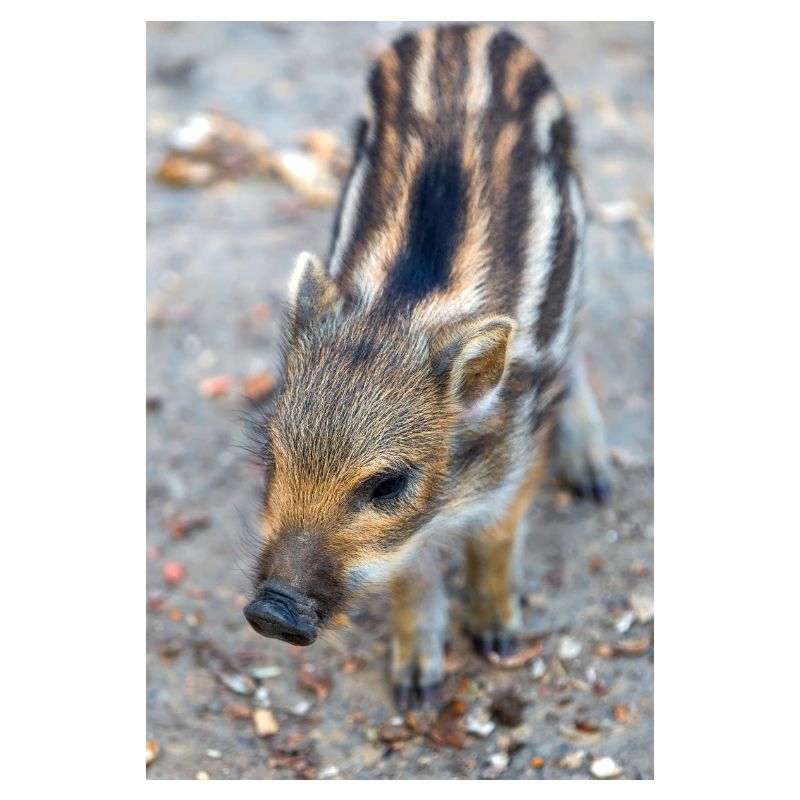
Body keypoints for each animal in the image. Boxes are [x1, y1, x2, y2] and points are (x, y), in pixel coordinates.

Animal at [244, 24, 611, 709]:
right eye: (273, 459)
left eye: (389, 485)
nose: (271, 612)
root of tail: (464, 29)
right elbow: (411, 571)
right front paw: (416, 684)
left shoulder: (520, 455)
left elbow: (494, 540)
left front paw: (498, 638)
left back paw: (594, 477)